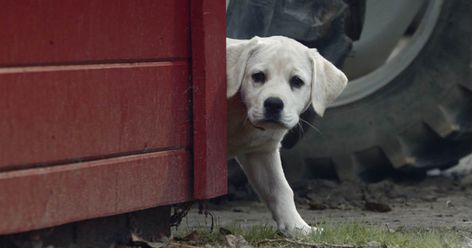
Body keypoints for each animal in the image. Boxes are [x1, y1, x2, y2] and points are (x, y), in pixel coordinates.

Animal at [225, 35, 346, 235]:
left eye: (297, 81)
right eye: (258, 76)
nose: (273, 104)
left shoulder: (261, 152)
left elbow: (280, 189)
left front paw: (298, 228)